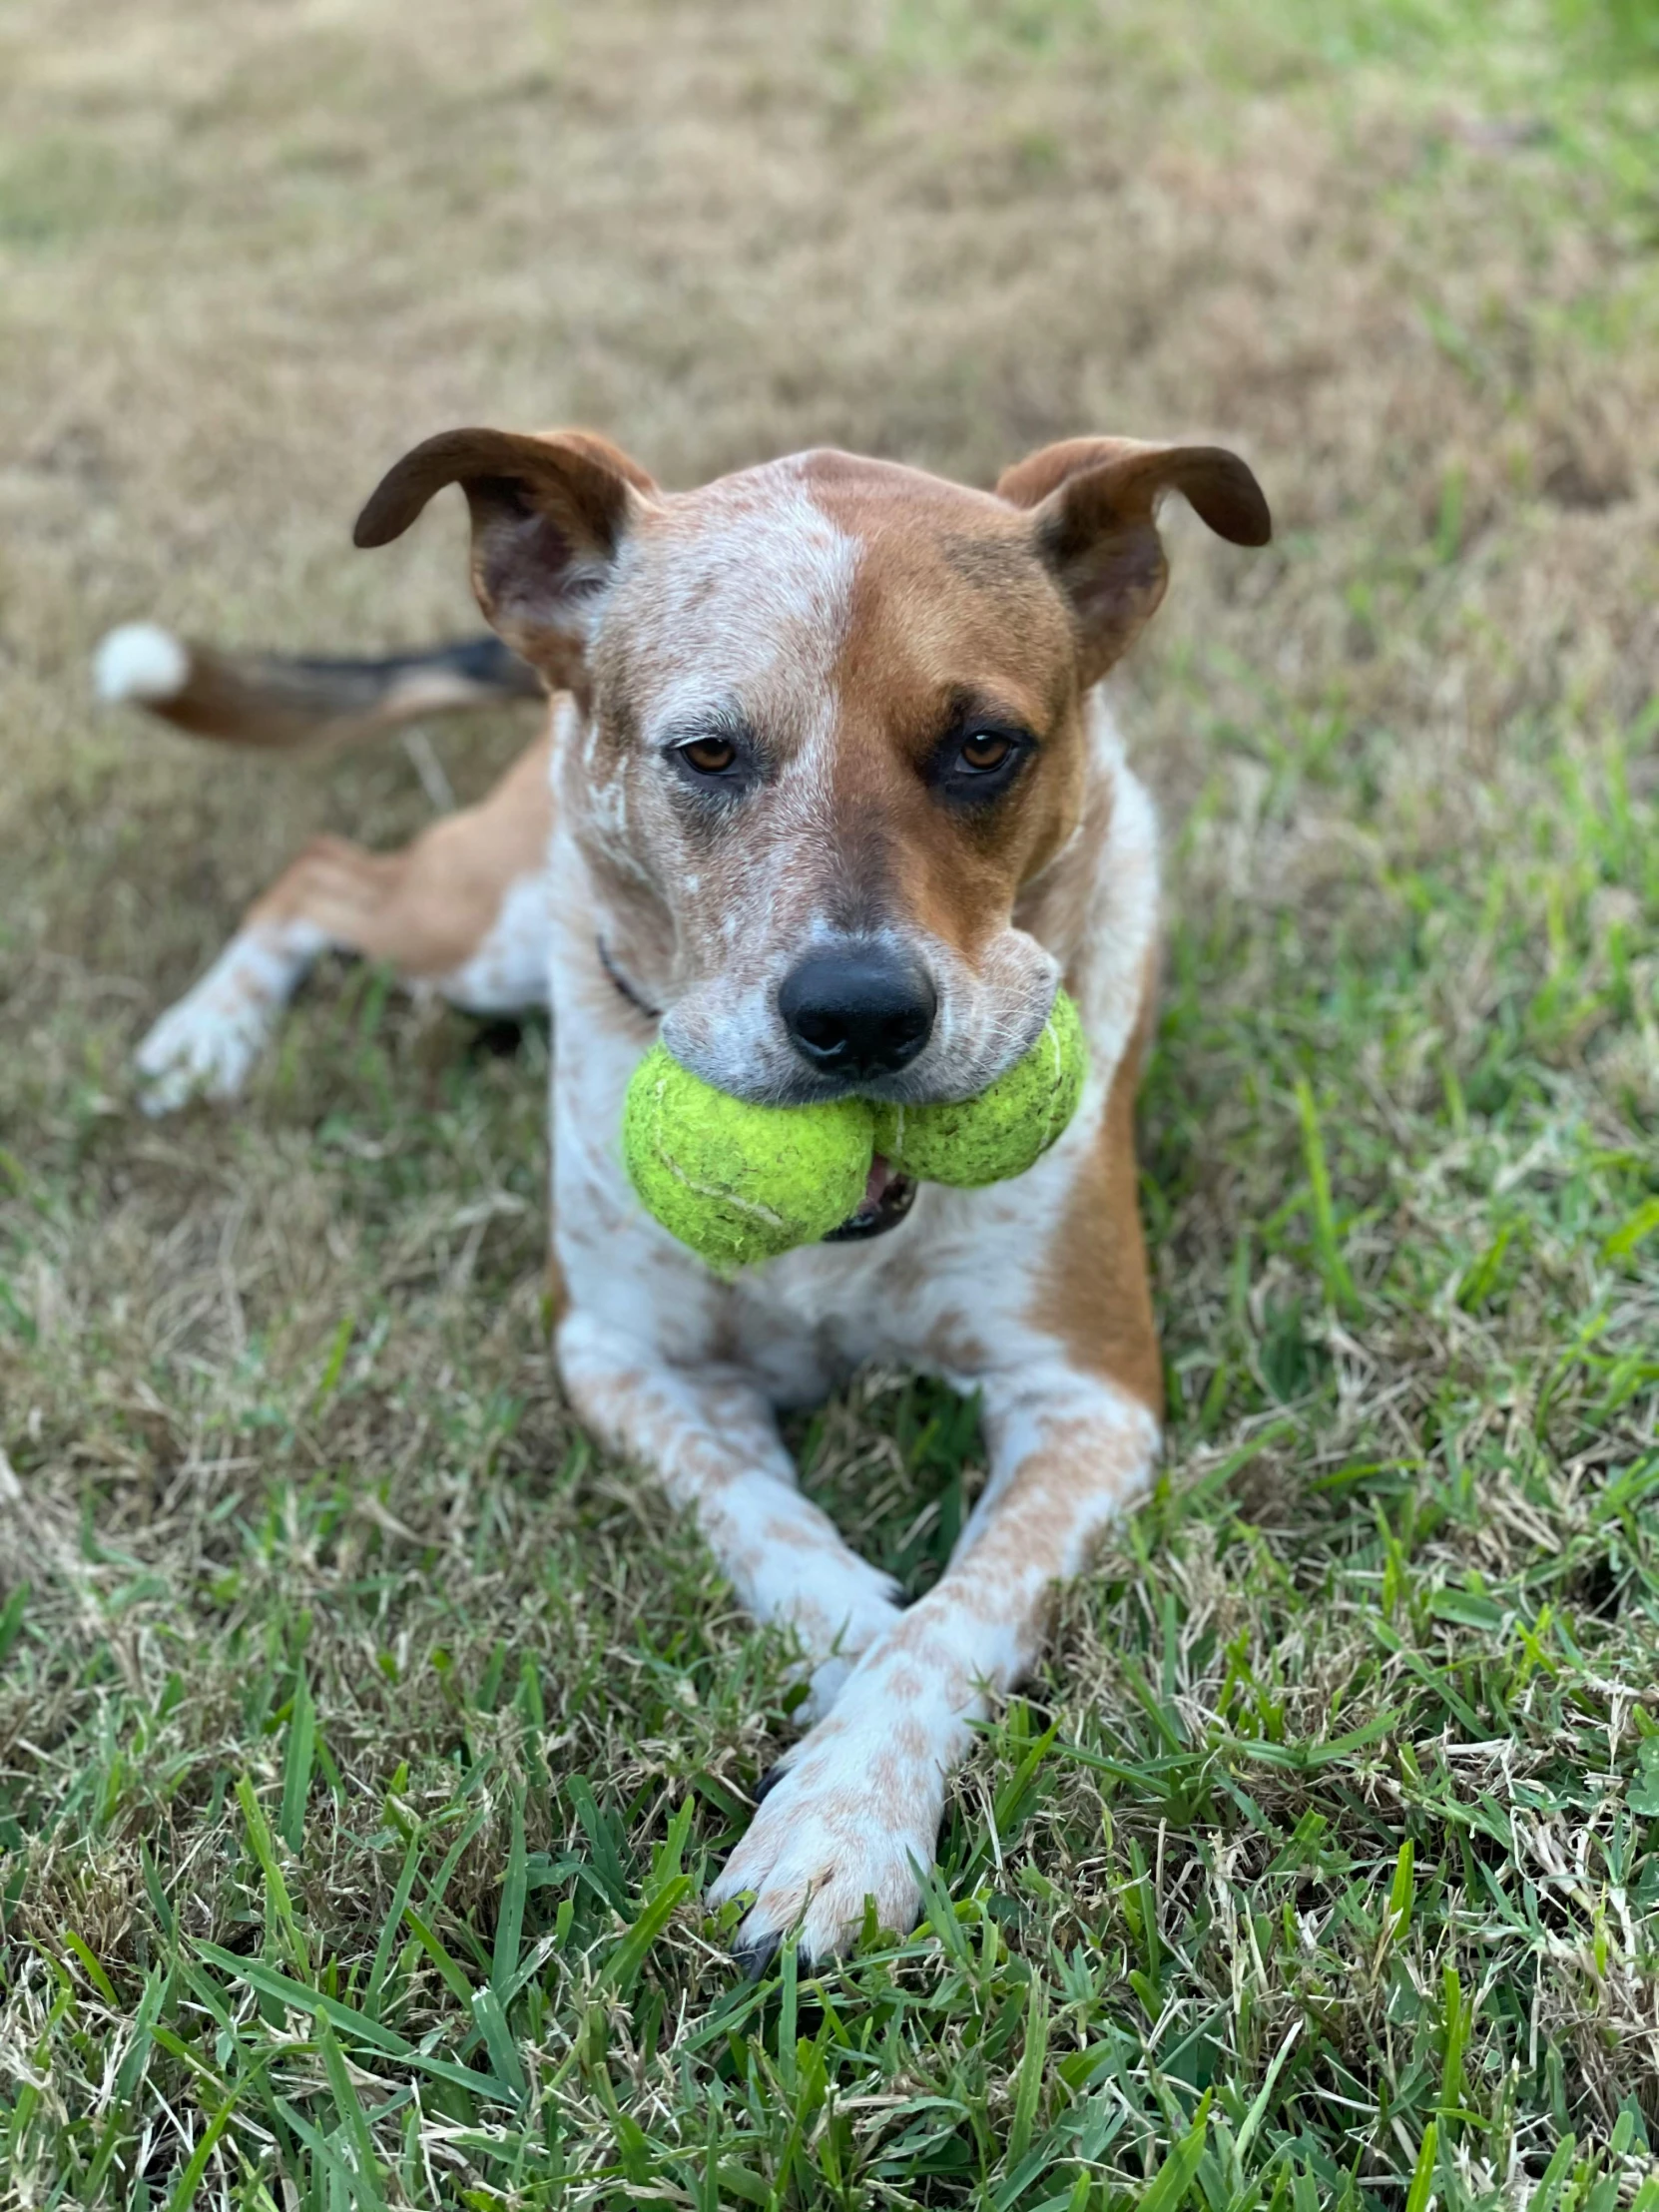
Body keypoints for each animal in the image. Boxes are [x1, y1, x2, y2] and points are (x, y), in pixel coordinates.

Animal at [100, 422, 1274, 1963]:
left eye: (985, 745)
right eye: (706, 752)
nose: (858, 1017)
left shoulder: (1089, 1394)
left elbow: (947, 1621)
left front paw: (839, 1815)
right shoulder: (624, 1356)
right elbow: (787, 1548)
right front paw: (837, 1699)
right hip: (482, 931)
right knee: (321, 872)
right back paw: (207, 1035)